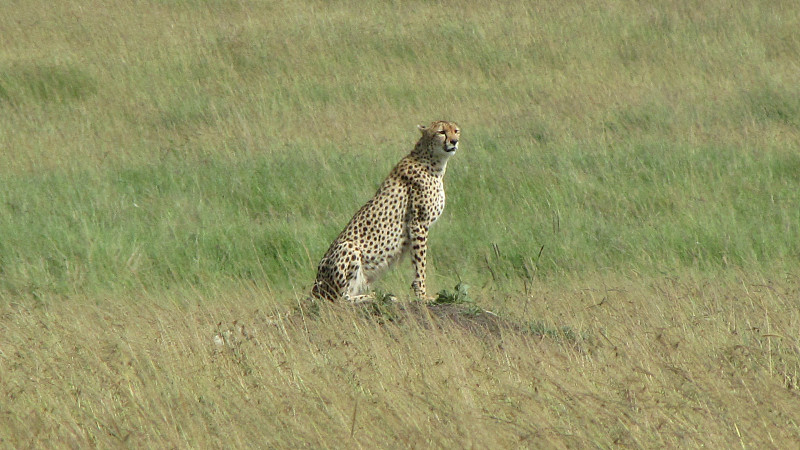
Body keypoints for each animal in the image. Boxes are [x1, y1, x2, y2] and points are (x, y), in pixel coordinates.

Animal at [314, 121, 462, 300]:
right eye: (441, 132)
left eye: (456, 131)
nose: (454, 141)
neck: (433, 161)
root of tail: (314, 289)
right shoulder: (418, 224)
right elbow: (420, 264)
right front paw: (422, 296)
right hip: (348, 247)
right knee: (340, 299)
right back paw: (372, 297)